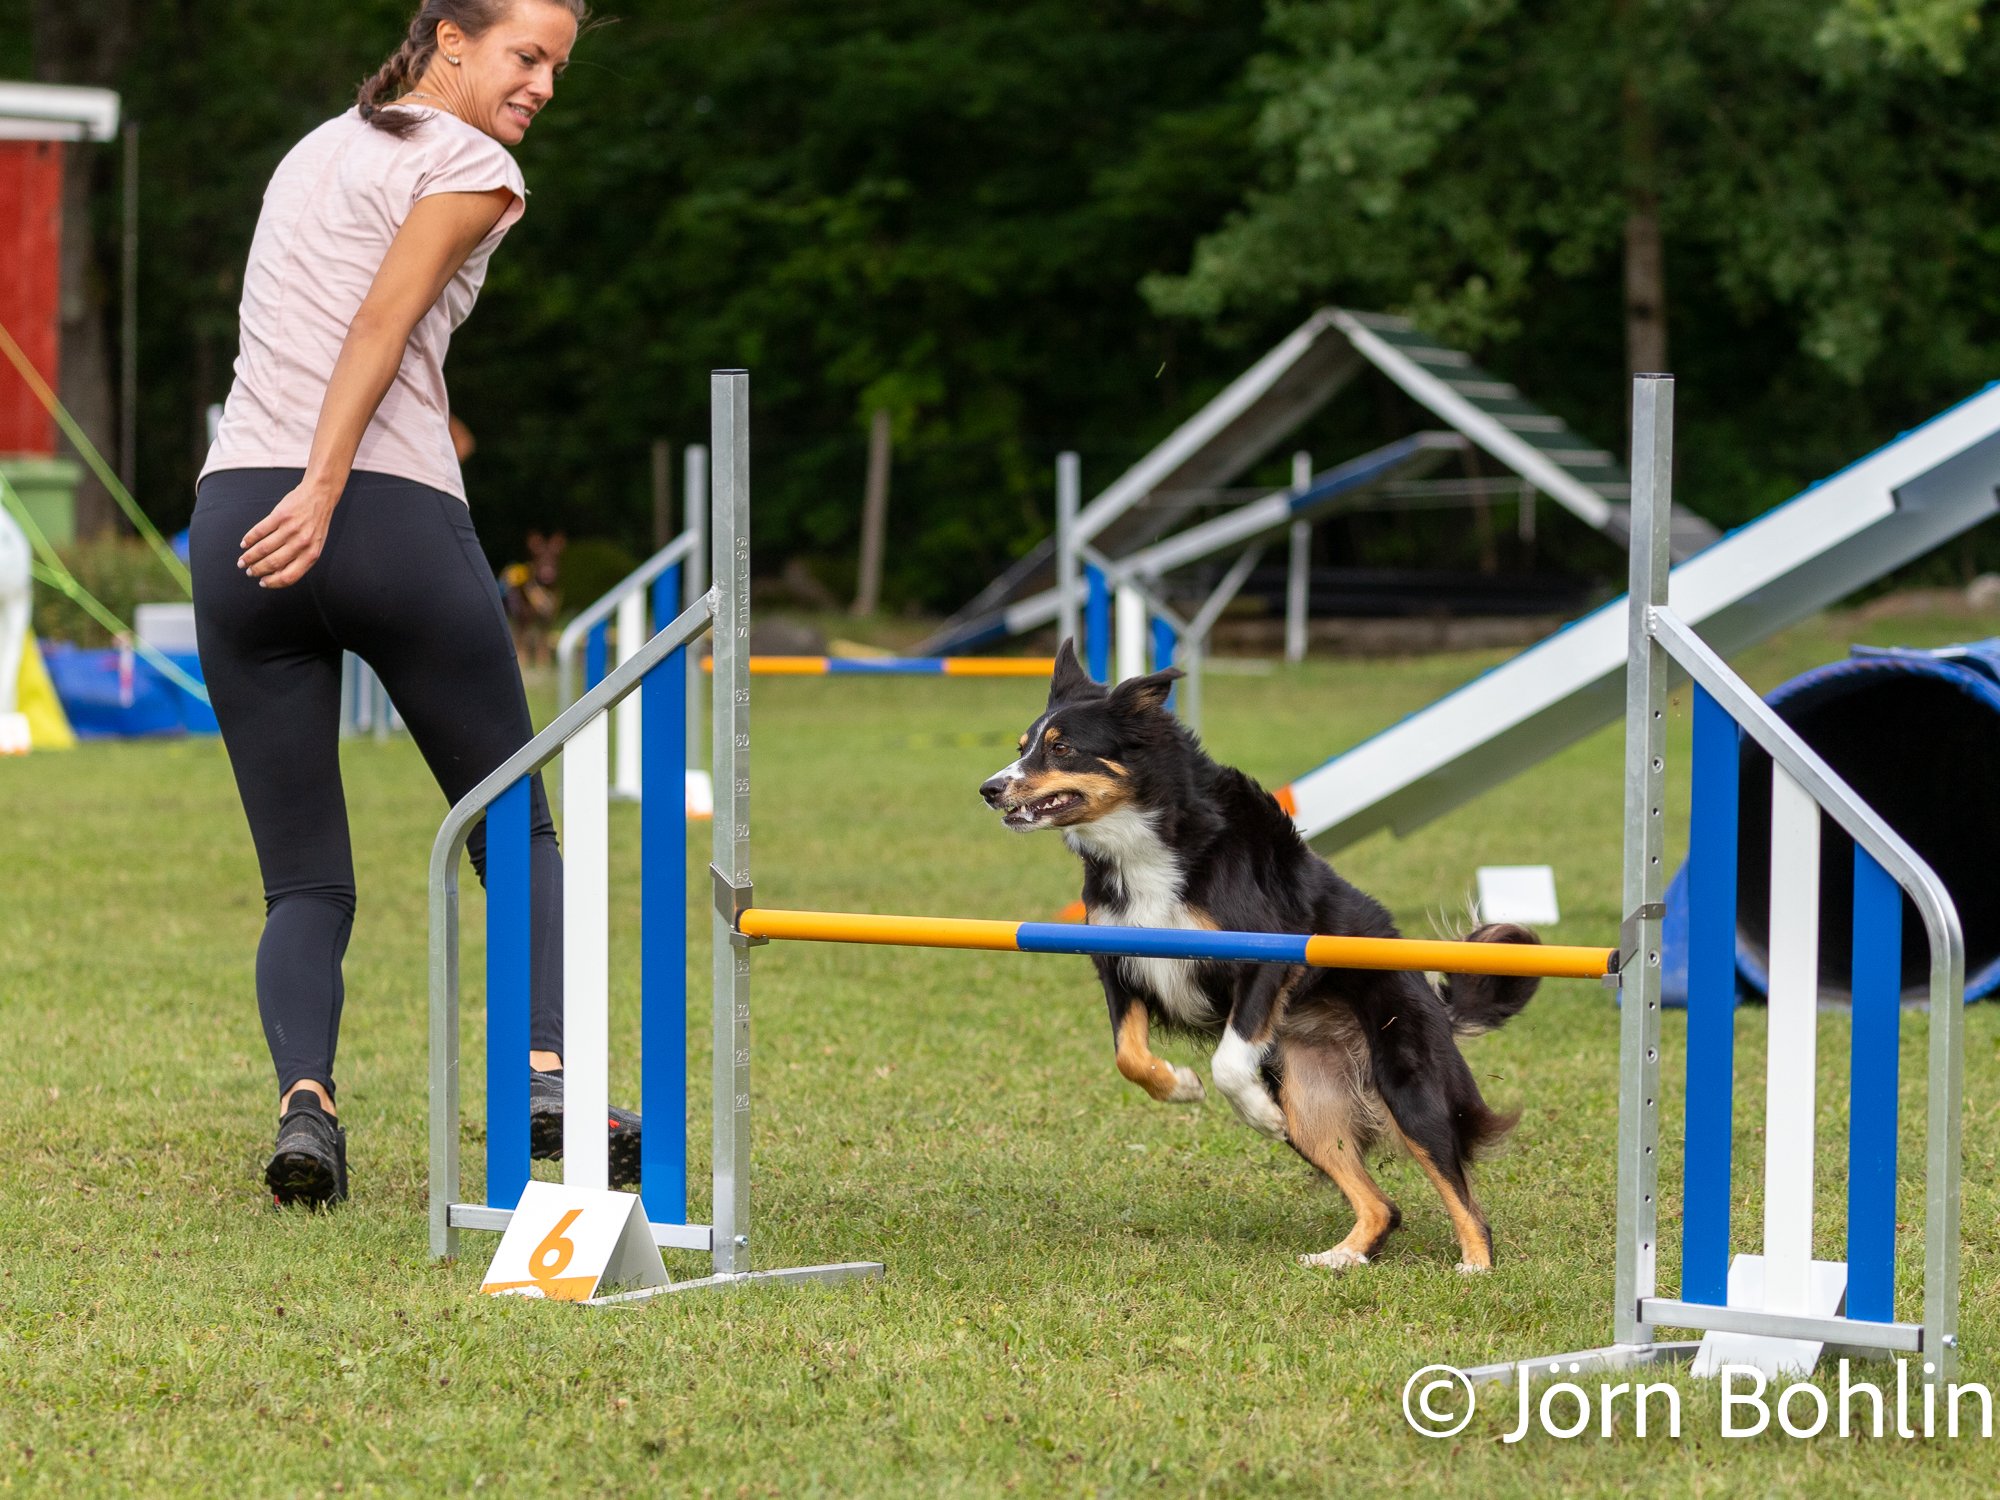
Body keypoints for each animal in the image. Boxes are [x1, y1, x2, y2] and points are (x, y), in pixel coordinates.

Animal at [980, 640, 1528, 1272]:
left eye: (1061, 747)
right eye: (1021, 747)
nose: (989, 789)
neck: (1147, 842)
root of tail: (1440, 1007)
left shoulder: (1267, 956)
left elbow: (1228, 1059)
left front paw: (1255, 1111)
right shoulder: (1119, 963)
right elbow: (1128, 1055)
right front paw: (1178, 1085)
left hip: (1407, 1082)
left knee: (1459, 1191)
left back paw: (1475, 1265)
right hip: (1311, 1102)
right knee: (1383, 1205)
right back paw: (1341, 1257)